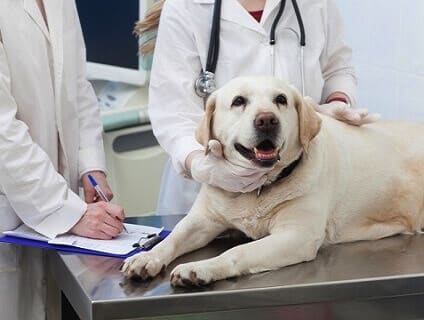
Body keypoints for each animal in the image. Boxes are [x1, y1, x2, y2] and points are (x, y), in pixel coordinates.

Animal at [121, 76, 424, 286]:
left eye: (280, 99)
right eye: (239, 101)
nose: (267, 120)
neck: (258, 189)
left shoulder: (297, 236)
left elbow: (239, 251)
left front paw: (201, 268)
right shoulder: (202, 220)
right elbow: (172, 239)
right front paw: (146, 258)